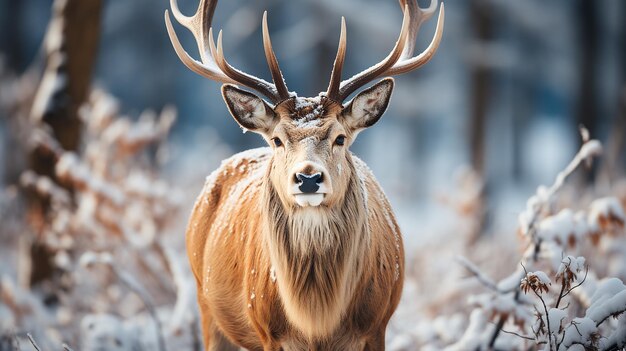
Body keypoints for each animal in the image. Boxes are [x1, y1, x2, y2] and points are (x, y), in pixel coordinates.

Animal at [163, 0, 442, 350]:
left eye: (340, 138)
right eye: (277, 139)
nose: (308, 178)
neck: (316, 320)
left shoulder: (378, 323)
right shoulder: (268, 329)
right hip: (205, 303)